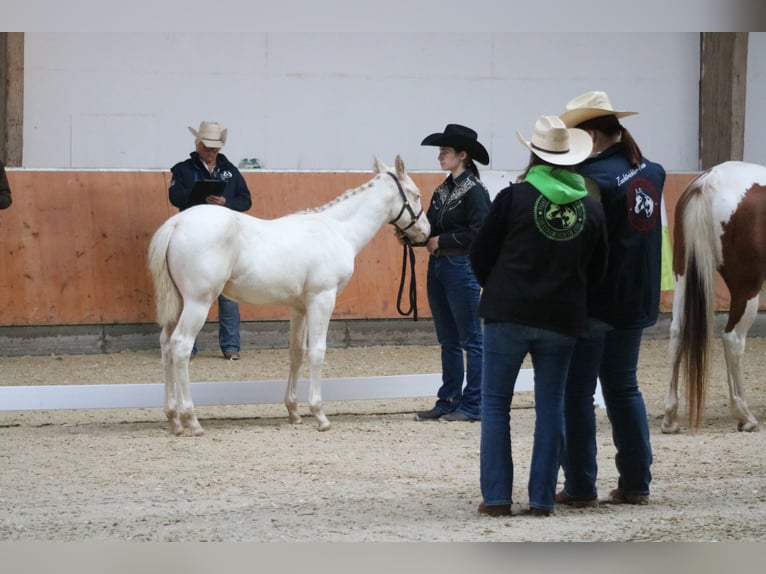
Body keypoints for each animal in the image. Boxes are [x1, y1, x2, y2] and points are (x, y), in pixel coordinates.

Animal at [148, 158, 432, 436]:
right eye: (416, 194)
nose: (426, 233)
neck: (336, 231)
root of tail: (177, 223)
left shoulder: (300, 307)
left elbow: (297, 352)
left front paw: (294, 411)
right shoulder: (322, 299)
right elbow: (317, 351)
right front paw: (319, 414)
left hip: (180, 303)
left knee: (166, 347)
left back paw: (174, 418)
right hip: (198, 302)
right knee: (181, 346)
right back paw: (191, 419)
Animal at [664, 160, 766, 434]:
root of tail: (710, 180)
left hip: (682, 274)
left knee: (677, 332)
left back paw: (670, 417)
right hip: (746, 287)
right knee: (732, 339)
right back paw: (744, 415)